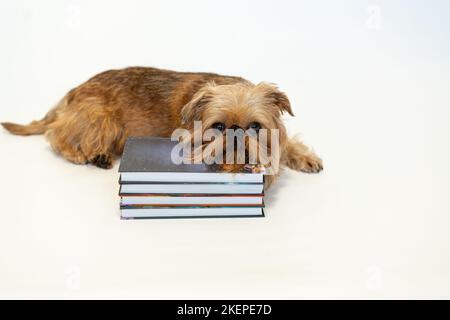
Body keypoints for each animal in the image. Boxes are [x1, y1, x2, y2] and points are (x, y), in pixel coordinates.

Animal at [0, 66, 324, 184]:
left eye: (256, 127)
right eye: (219, 127)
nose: (236, 135)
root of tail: (72, 92)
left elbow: (287, 143)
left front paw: (304, 156)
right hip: (99, 117)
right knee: (57, 136)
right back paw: (89, 155)